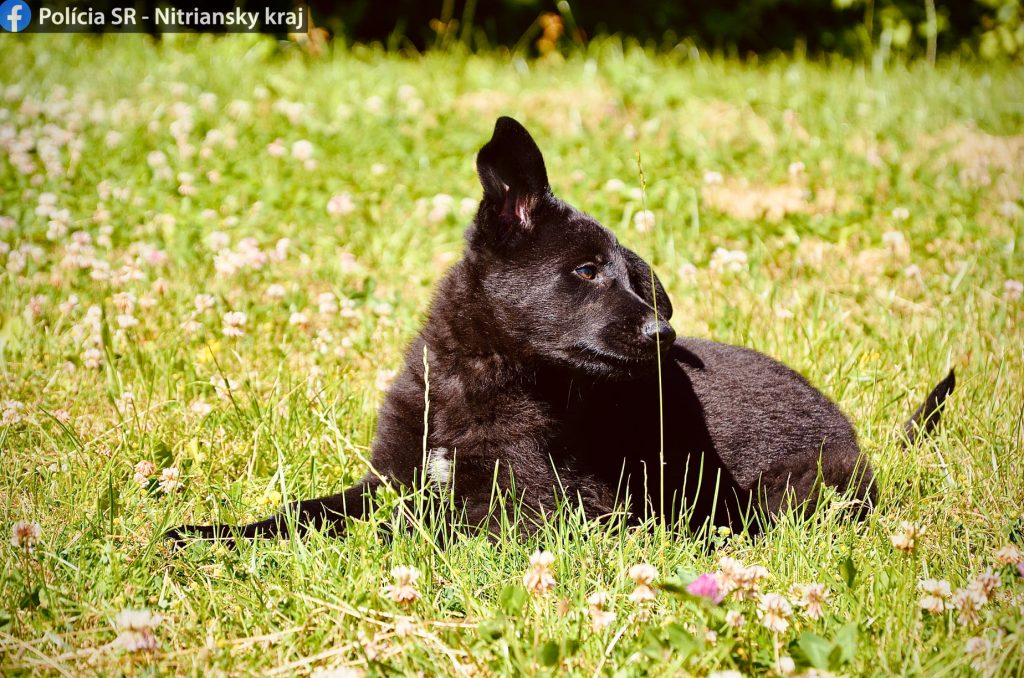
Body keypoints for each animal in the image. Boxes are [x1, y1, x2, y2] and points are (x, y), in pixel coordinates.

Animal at [169, 115, 958, 540]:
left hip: (782, 492)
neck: (476, 381)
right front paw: (208, 535)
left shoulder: (526, 512)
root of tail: (855, 430)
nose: (664, 338)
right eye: (584, 271)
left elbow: (408, 530)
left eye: (639, 284)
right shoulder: (389, 480)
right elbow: (304, 512)